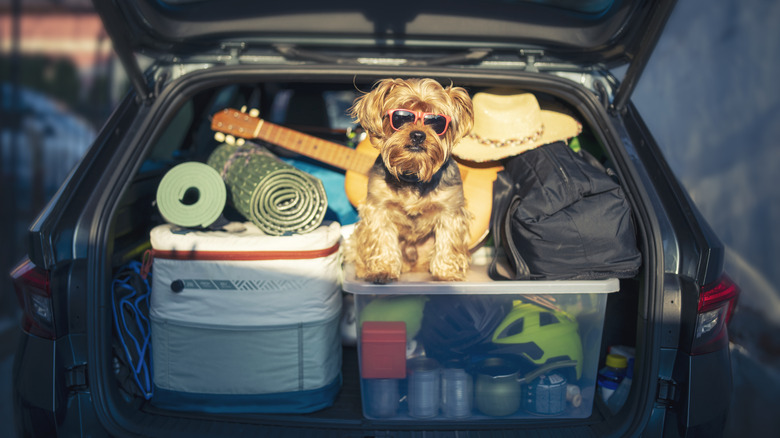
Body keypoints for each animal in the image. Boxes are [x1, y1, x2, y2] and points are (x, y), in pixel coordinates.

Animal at [348, 78, 476, 284]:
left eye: (436, 121)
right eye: (401, 118)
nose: (418, 135)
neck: (412, 174)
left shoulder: (450, 211)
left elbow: (448, 241)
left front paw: (446, 273)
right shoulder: (378, 209)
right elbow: (382, 239)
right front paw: (383, 270)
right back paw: (362, 270)